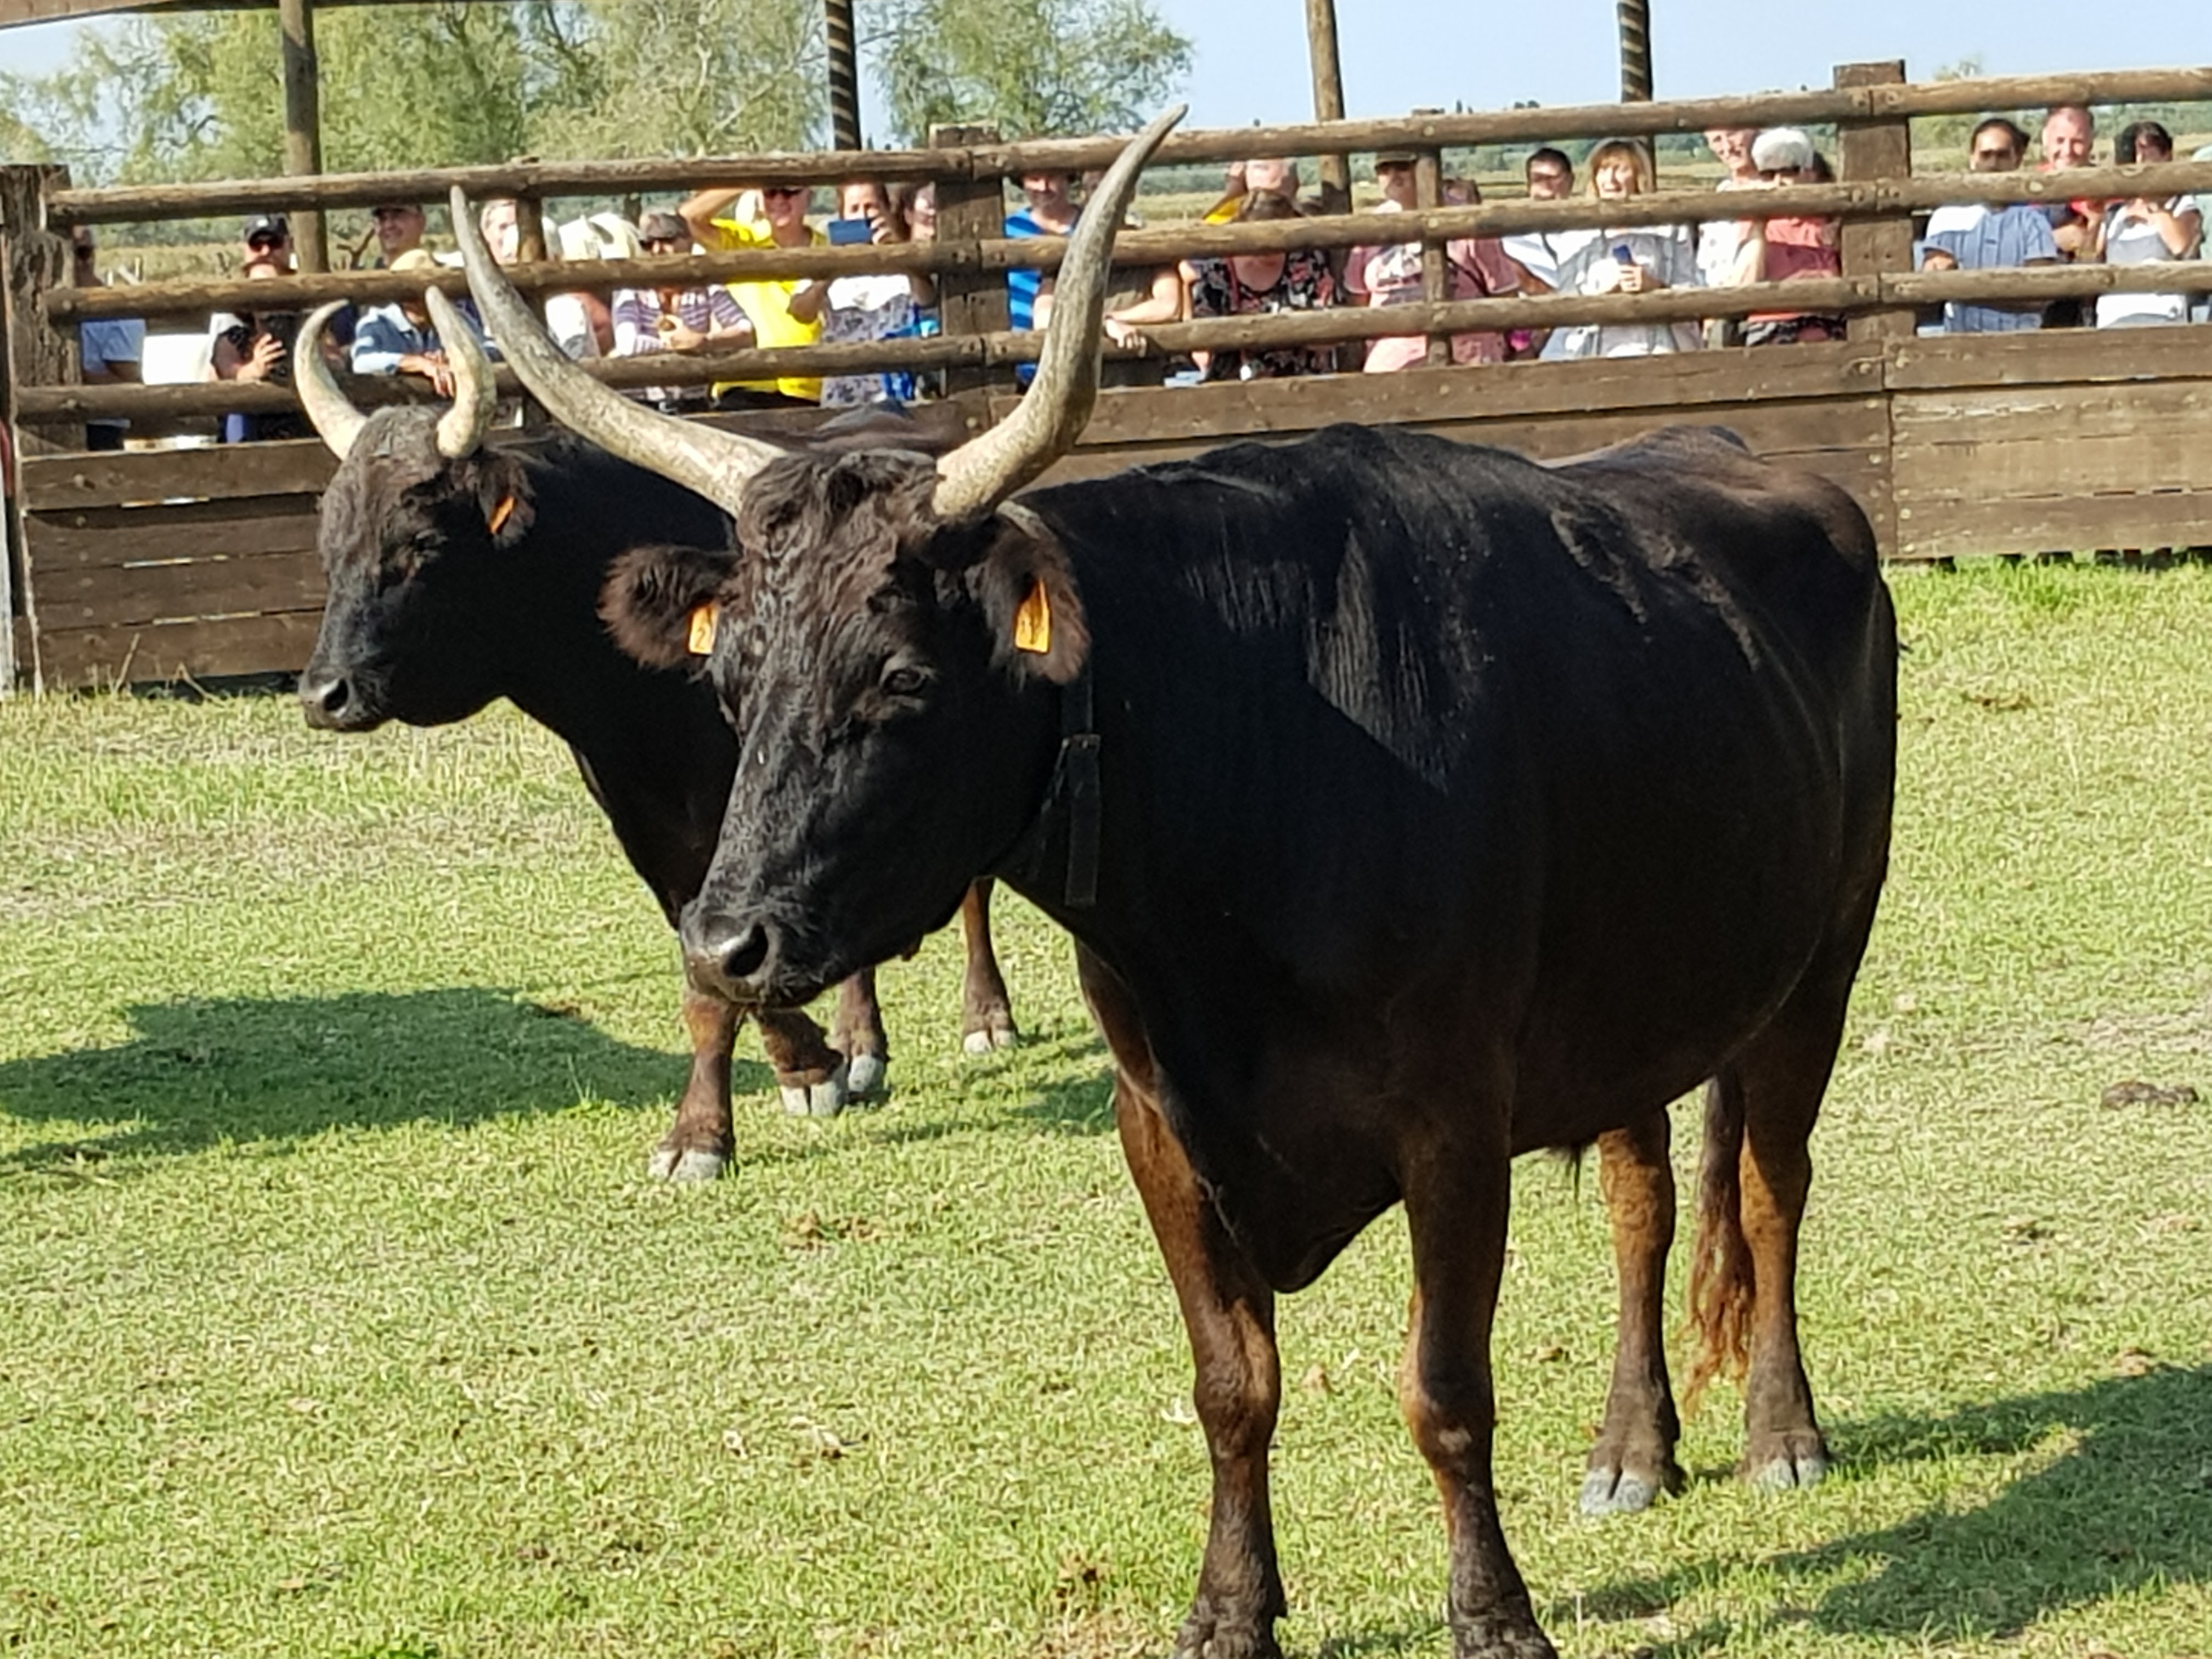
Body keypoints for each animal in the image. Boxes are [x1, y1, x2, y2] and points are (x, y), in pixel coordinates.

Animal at [290, 309, 1019, 1178]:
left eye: (422, 542)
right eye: (330, 544)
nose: (325, 694)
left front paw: (750, 1103)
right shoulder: (660, 833)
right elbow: (708, 963)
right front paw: (796, 1069)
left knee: (973, 890)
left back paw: (987, 1018)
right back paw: (862, 1041)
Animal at [453, 108, 1896, 1659]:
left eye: (901, 681)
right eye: (728, 680)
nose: (727, 942)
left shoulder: (1453, 1124)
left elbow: (1446, 1393)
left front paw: (1495, 1616)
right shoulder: (1159, 1124)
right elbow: (1232, 1385)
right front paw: (1231, 1609)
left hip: (1824, 960)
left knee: (1772, 1186)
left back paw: (1780, 1434)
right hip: (1634, 996)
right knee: (1645, 1199)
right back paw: (1632, 1448)